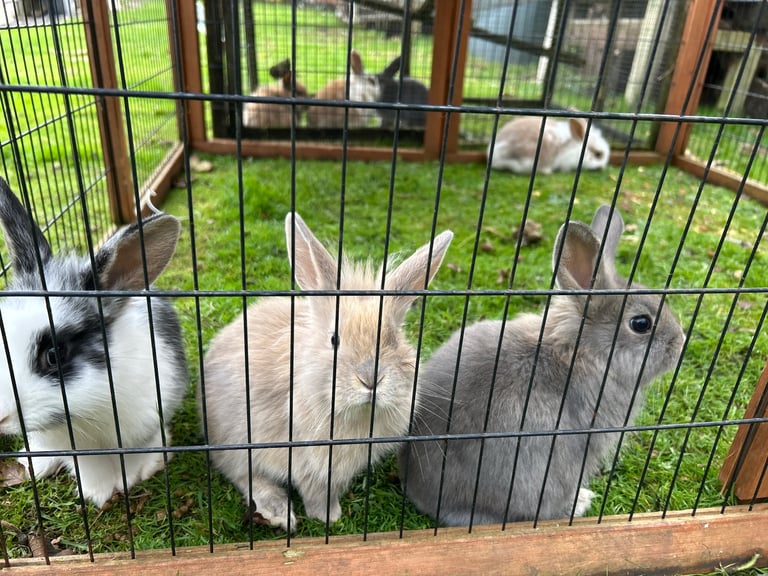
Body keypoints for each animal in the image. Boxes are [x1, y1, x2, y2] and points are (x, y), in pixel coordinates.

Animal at [0, 178, 188, 508]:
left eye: (55, 355)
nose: (0, 417)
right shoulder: (75, 445)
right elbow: (88, 466)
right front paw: (97, 492)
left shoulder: (146, 420)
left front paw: (133, 477)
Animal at [200, 213, 453, 531]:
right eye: (334, 339)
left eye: (394, 339)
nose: (370, 379)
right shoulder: (304, 460)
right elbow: (310, 488)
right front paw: (326, 517)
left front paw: (330, 514)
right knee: (245, 475)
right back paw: (278, 511)